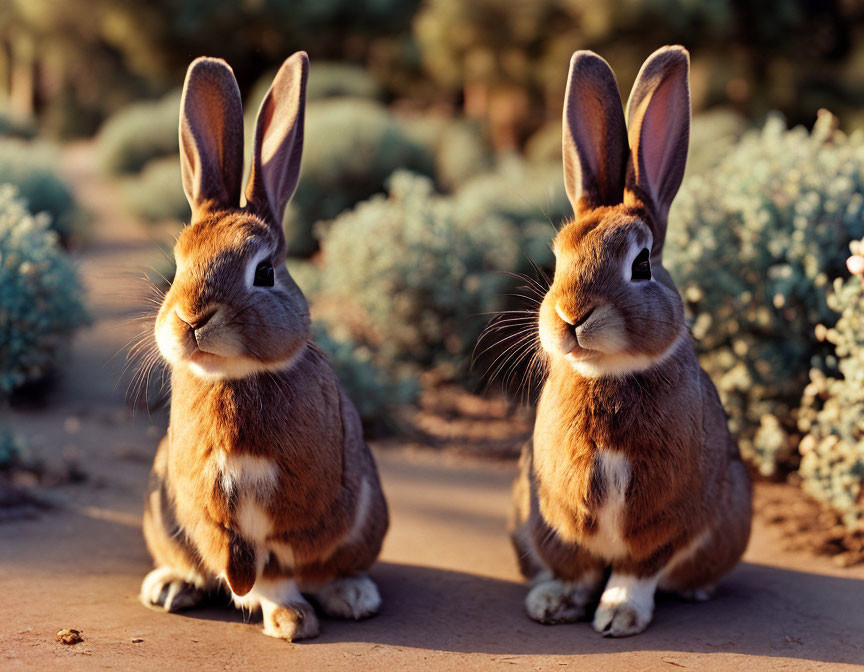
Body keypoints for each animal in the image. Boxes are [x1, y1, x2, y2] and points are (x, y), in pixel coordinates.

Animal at [139, 52, 388, 640]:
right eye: (178, 264)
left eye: (265, 272)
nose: (191, 318)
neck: (235, 376)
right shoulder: (210, 506)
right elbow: (242, 563)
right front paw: (287, 616)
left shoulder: (294, 508)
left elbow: (277, 565)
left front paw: (292, 621)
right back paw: (169, 587)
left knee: (333, 568)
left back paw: (353, 596)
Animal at [510, 46, 752, 636]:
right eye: (558, 256)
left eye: (641, 264)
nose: (570, 316)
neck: (609, 374)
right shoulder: (557, 518)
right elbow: (574, 565)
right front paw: (555, 604)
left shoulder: (668, 518)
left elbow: (638, 569)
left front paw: (618, 615)